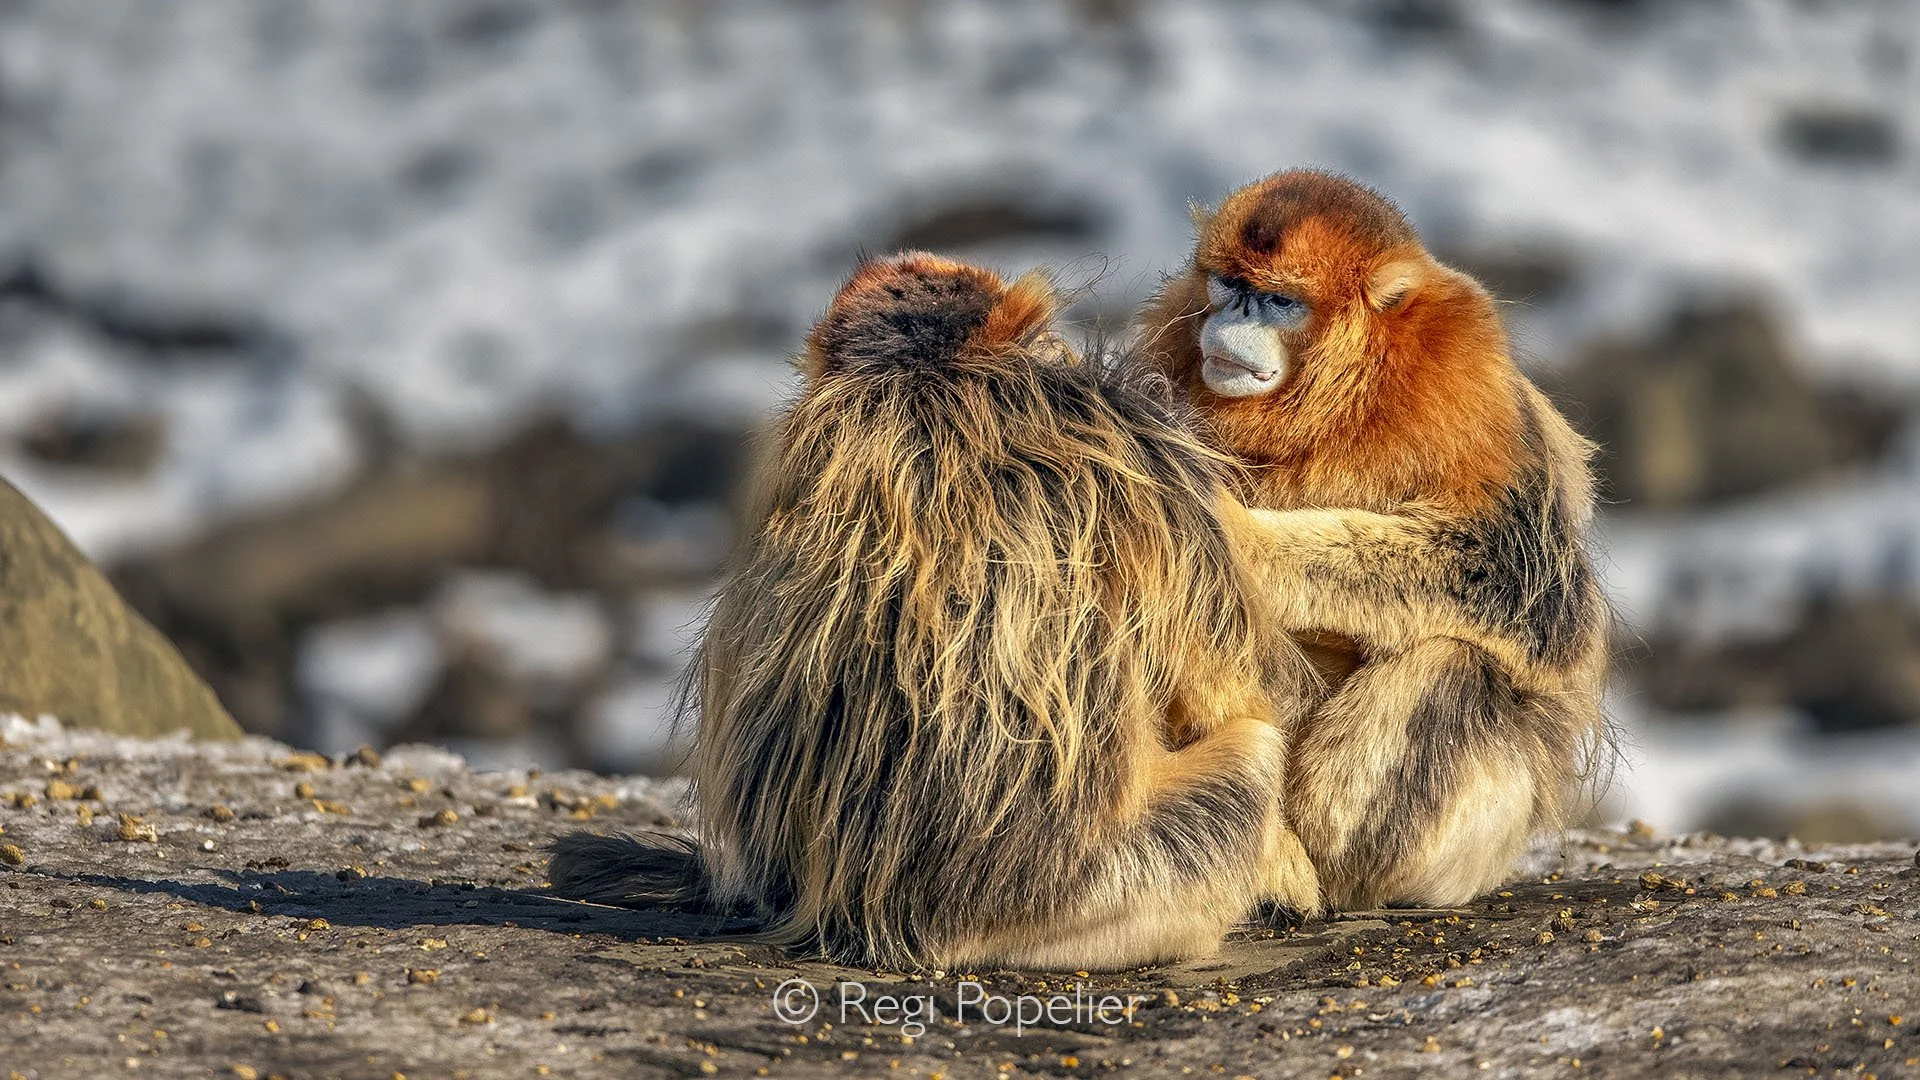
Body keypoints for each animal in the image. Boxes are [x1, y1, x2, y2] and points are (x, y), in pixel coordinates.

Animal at [550, 252, 1323, 971]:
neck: (923, 376)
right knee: (1251, 752)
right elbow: (1228, 686)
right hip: (1110, 890)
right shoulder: (1140, 436)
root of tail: (896, 920)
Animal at [1135, 169, 1610, 911]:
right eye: (1229, 285)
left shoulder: (1465, 377)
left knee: (1451, 662)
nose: (1233, 320)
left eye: (1279, 301)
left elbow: (1528, 590)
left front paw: (1231, 528)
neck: (1345, 392)